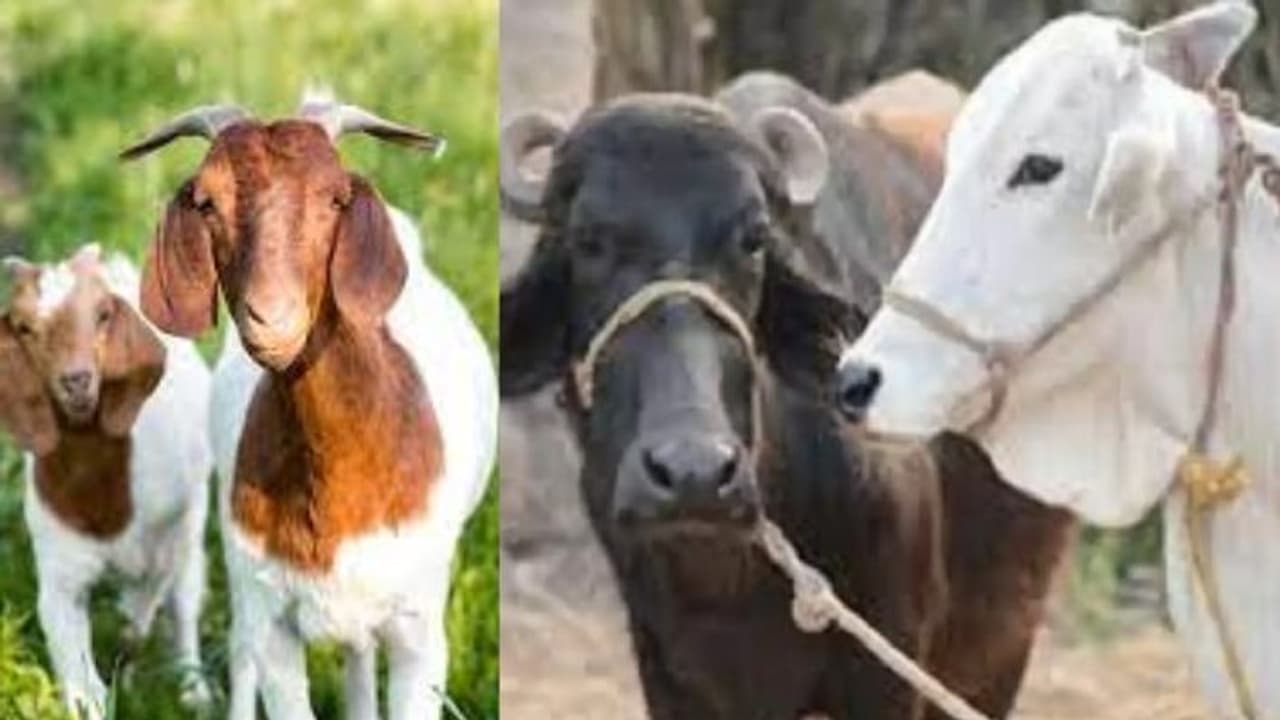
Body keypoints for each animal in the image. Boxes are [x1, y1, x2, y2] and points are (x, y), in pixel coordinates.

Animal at [0, 244, 213, 720]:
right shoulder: (59, 572)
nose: (76, 381)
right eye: (24, 327)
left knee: (185, 603)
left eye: (101, 314)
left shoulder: (160, 553)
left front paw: (128, 672)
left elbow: (136, 625)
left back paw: (195, 691)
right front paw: (102, 694)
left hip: (191, 526)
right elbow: (79, 675)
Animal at [121, 97, 498, 720]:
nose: (271, 318)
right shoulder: (272, 617)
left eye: (335, 198)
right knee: (244, 651)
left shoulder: (419, 630)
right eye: (206, 202)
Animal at [500, 70, 1071, 720]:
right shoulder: (666, 672)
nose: (694, 472)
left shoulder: (892, 668)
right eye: (588, 241)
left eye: (753, 239)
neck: (727, 581)